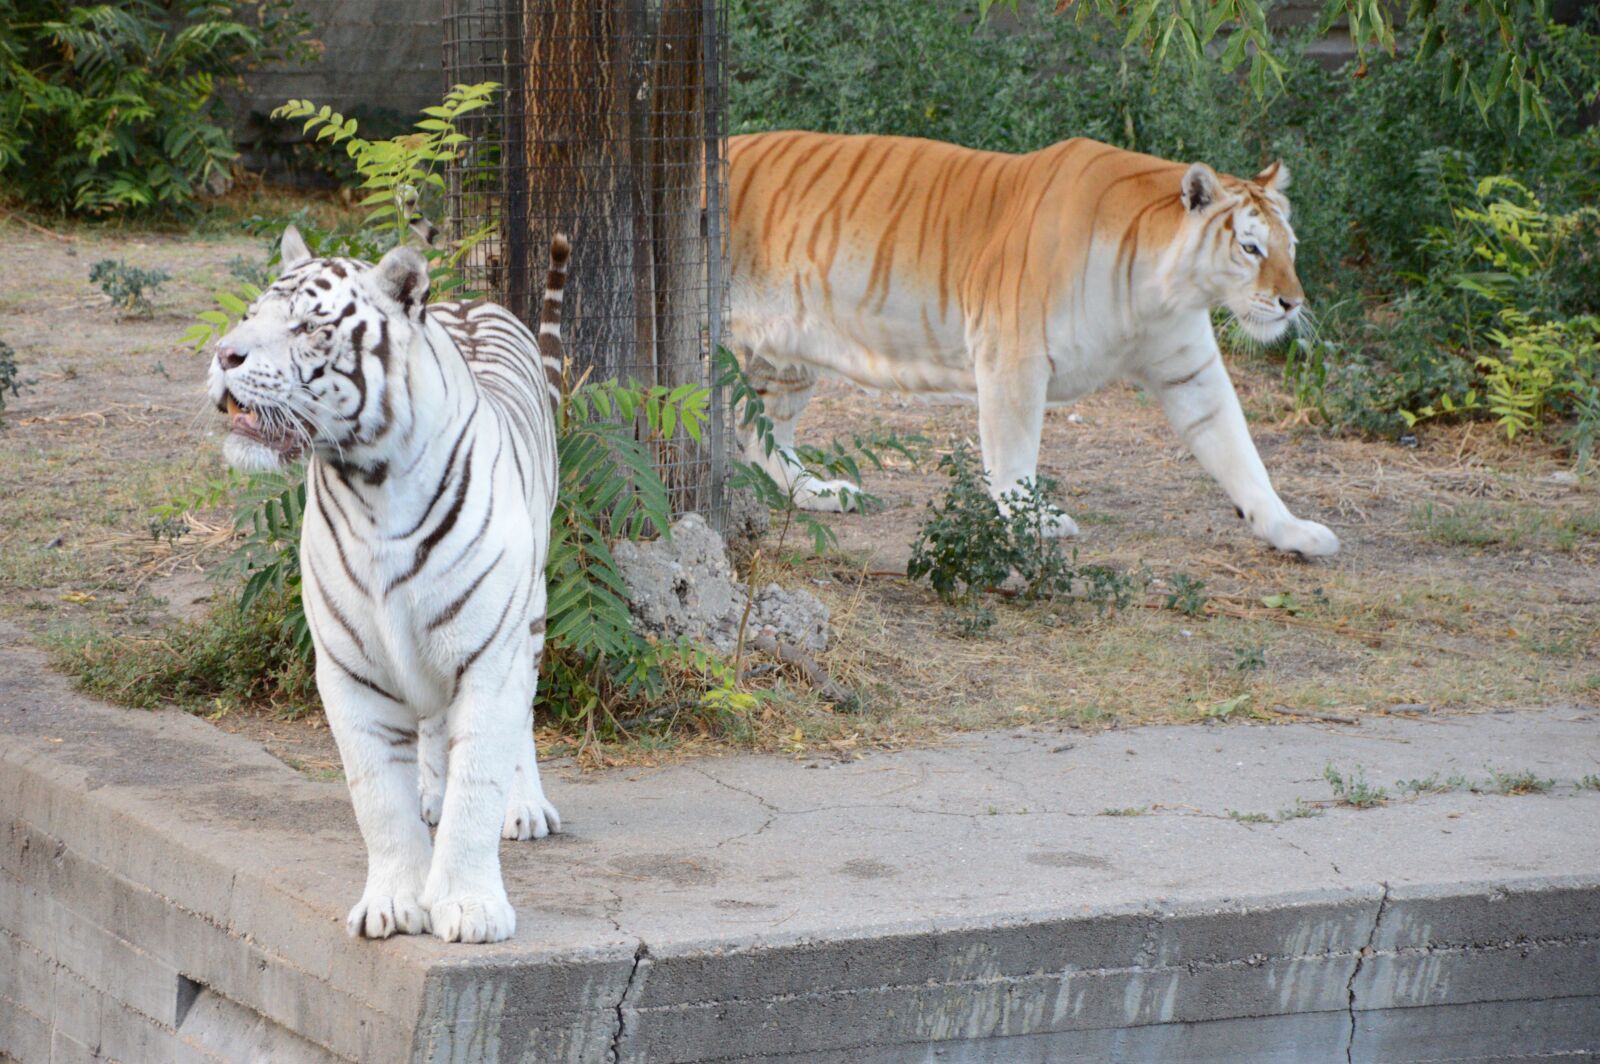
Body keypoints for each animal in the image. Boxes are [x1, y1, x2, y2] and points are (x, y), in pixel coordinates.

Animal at [207, 225, 571, 943]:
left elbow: (477, 785)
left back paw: (526, 806)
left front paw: (470, 908)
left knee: (518, 723)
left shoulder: (489, 656)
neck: (370, 484)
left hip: (531, 614)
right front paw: (395, 904)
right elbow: (378, 798)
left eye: (308, 327)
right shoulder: (351, 668)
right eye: (250, 315)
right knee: (430, 728)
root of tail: (470, 299)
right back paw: (431, 792)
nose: (225, 354)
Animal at [728, 131, 1339, 557]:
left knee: (762, 438)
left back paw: (819, 493)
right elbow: (1015, 453)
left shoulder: (1190, 372)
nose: (1292, 303)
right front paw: (1035, 521)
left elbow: (1241, 454)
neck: (1160, 291)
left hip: (783, 360)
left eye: (1290, 247)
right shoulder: (1012, 358)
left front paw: (1292, 531)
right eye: (1251, 248)